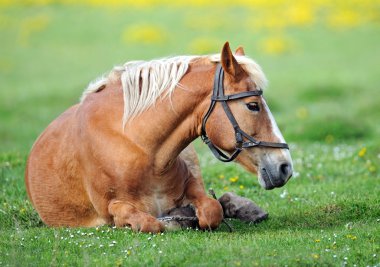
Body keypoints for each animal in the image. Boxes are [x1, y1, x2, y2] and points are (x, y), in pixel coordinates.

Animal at [25, 42, 292, 232]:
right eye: (253, 105)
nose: (285, 166)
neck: (142, 150)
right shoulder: (110, 209)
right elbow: (151, 223)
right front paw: (176, 219)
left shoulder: (193, 187)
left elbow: (211, 210)